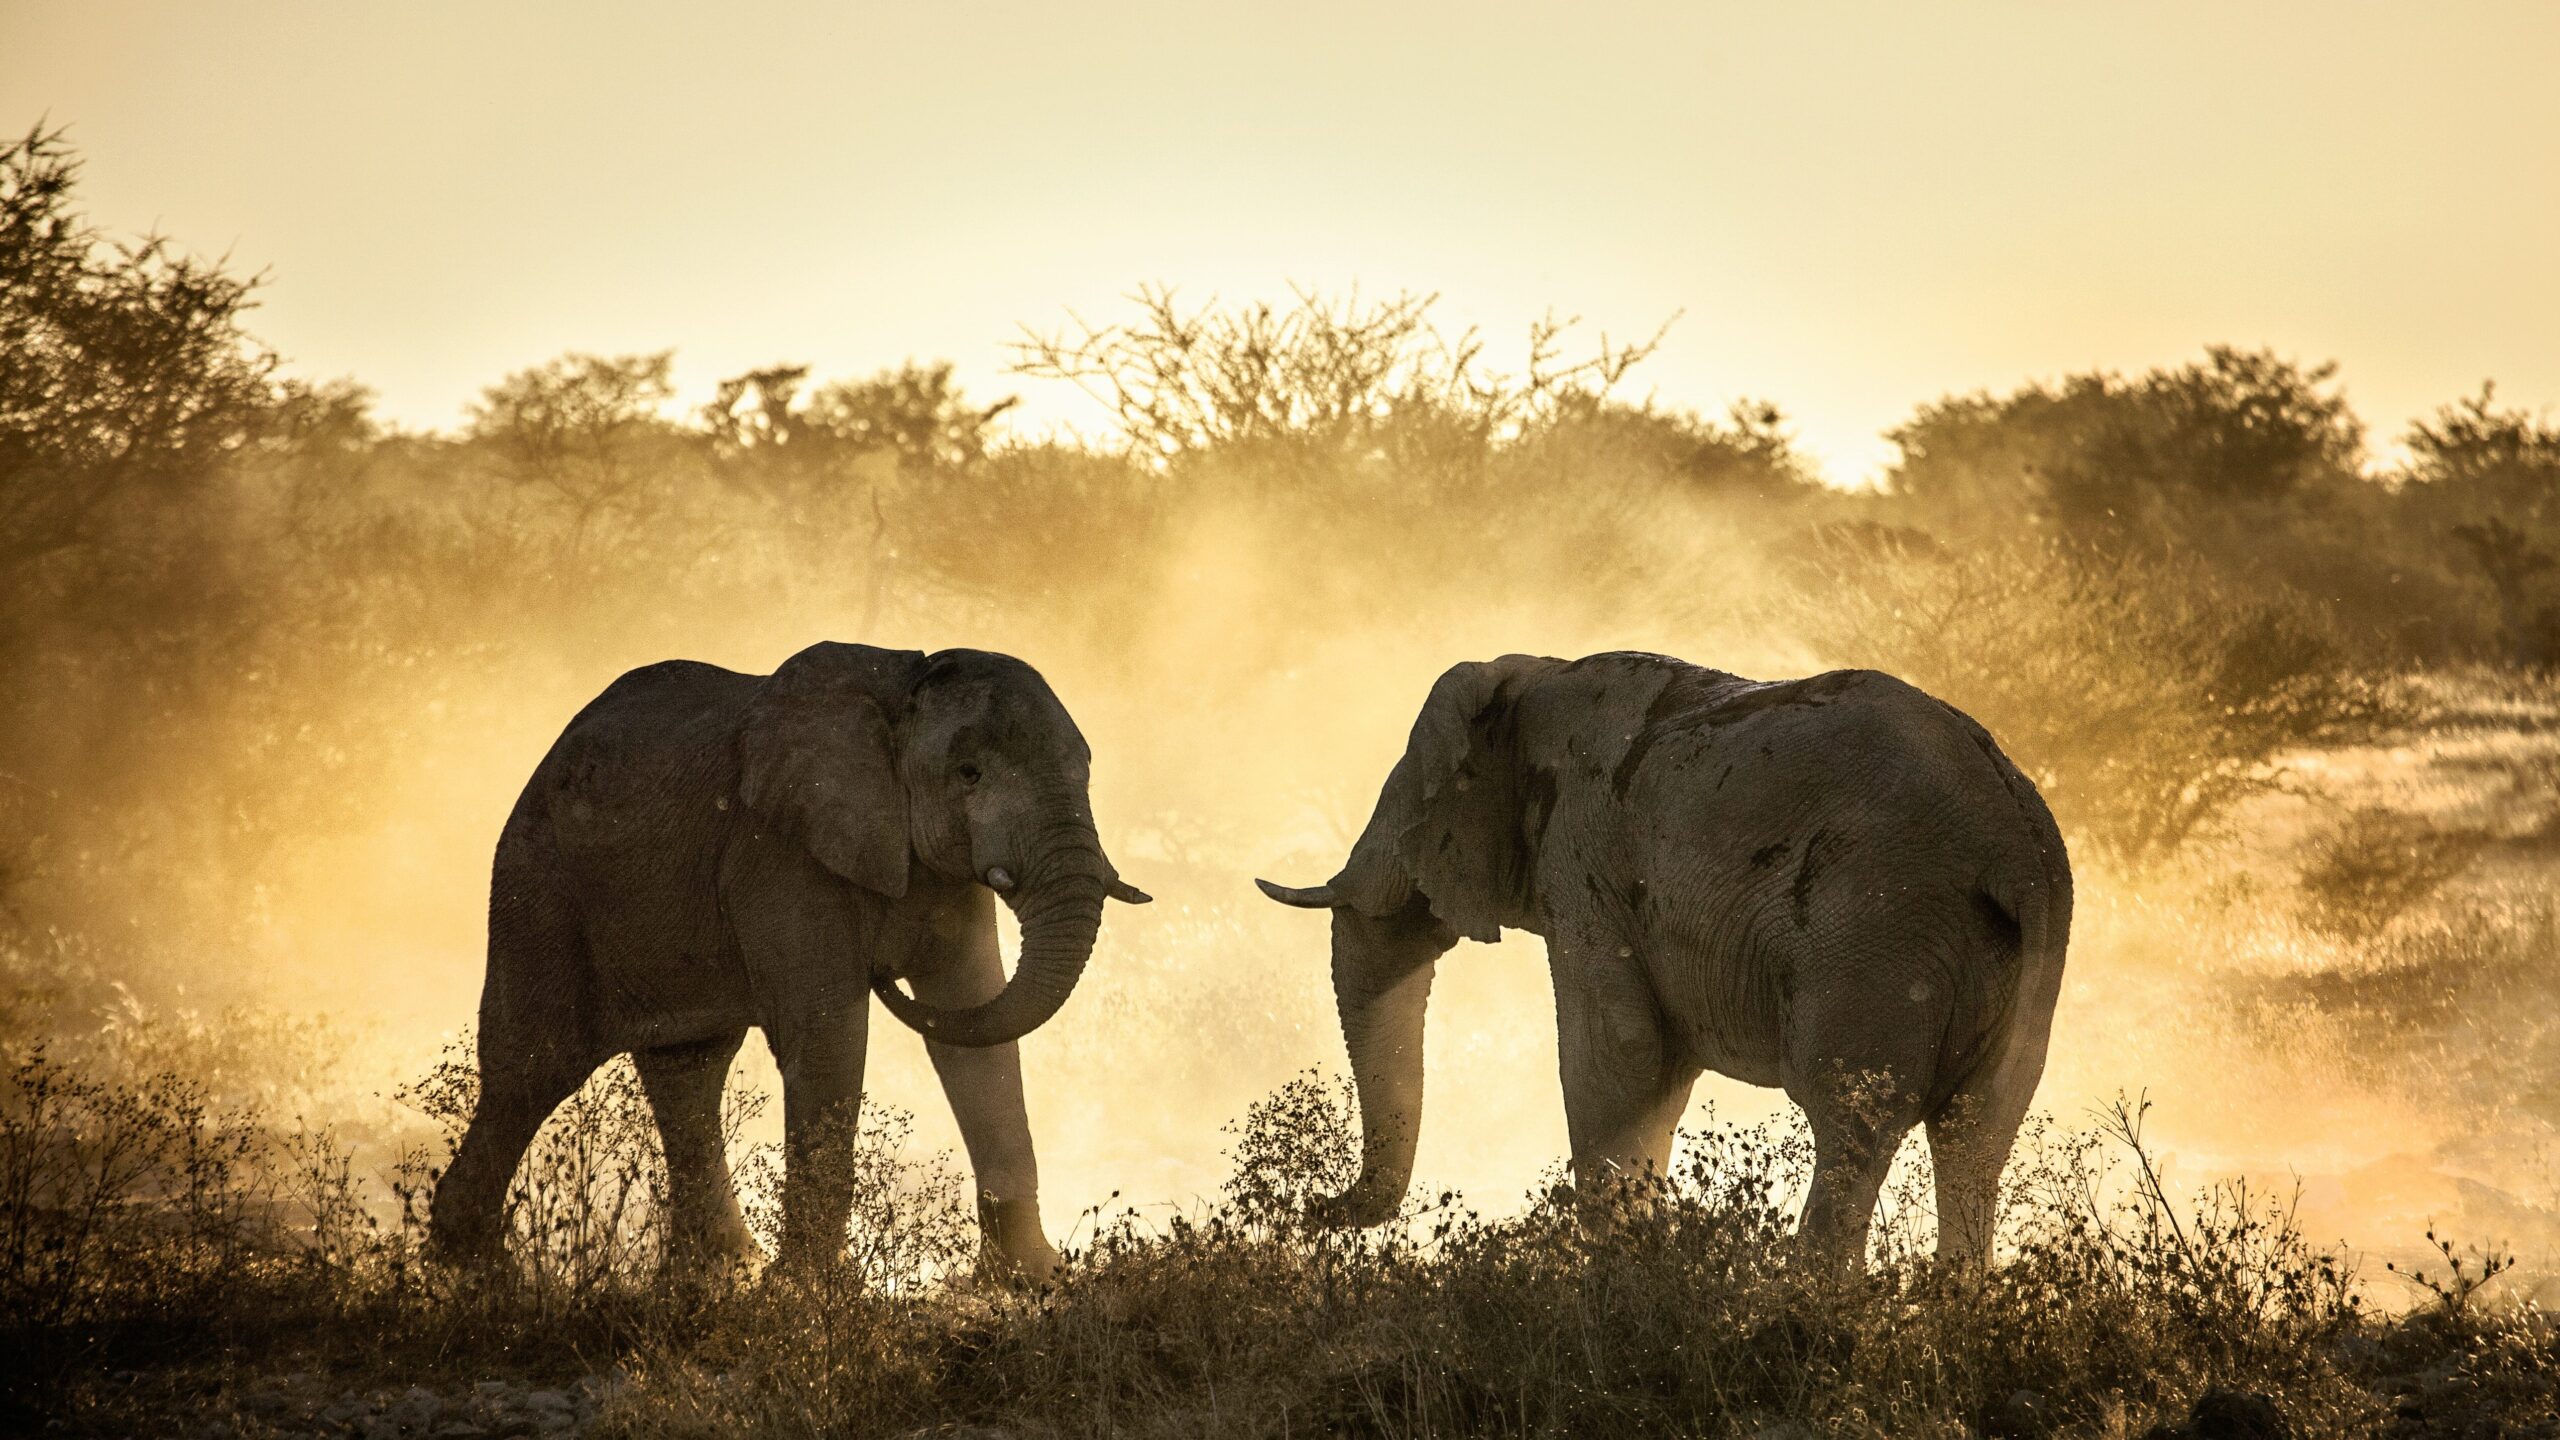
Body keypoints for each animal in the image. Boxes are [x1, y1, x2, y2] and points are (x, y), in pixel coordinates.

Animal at [429, 642, 1150, 1280]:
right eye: (969, 773)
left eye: (1086, 772)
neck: (899, 694)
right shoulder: (776, 853)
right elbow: (830, 1033)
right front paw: (808, 1294)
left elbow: (973, 1019)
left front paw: (1036, 1280)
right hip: (537, 885)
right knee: (533, 1068)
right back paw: (484, 1276)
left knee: (688, 1069)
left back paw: (721, 1275)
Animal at [1258, 652, 2070, 1265]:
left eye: (1408, 808)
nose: (1312, 1205)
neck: (1532, 677)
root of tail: (2015, 846)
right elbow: (1657, 1071)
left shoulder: (1583, 857)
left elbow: (1616, 1057)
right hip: (2021, 957)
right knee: (1977, 1133)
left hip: (1875, 930)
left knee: (1853, 1119)